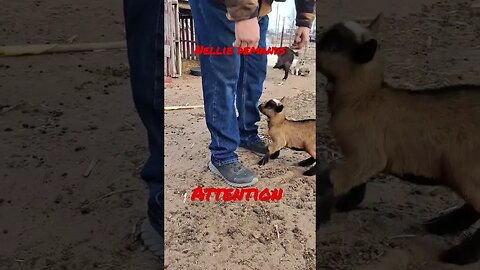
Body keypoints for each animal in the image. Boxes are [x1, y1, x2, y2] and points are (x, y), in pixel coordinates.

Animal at [316, 13, 480, 266]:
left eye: (333, 46)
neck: (363, 98)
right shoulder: (368, 155)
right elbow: (359, 179)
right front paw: (348, 203)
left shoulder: (367, 152)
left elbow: (333, 179)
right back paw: (440, 226)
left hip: (465, 170)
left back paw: (458, 254)